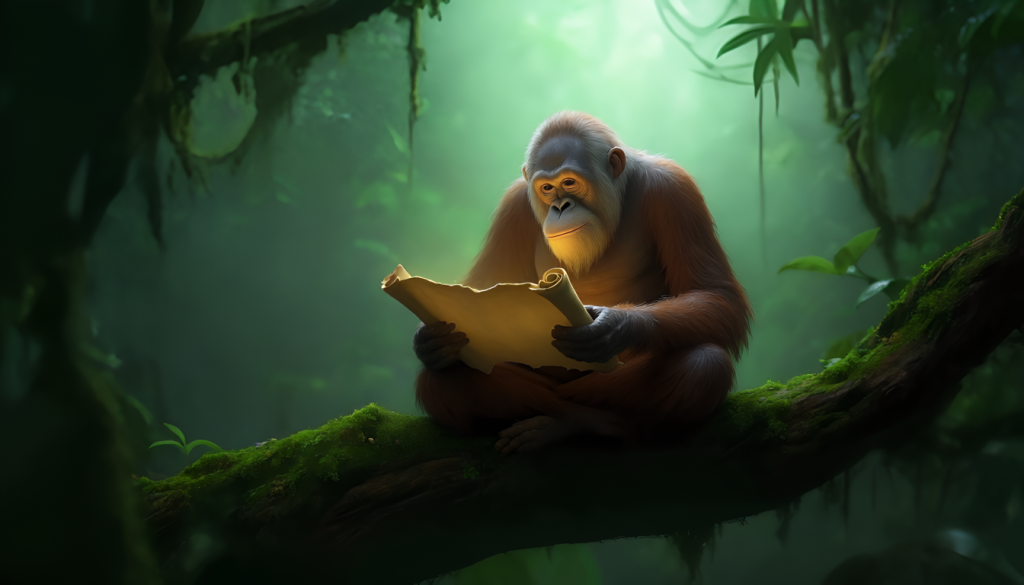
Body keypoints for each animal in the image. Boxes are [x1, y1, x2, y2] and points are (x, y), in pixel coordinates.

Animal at [413, 111, 752, 454]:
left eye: (570, 183)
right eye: (546, 188)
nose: (560, 206)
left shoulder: (673, 190)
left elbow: (714, 294)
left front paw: (611, 326)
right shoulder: (513, 207)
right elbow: (482, 284)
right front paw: (431, 339)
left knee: (703, 364)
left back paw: (593, 424)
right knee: (440, 381)